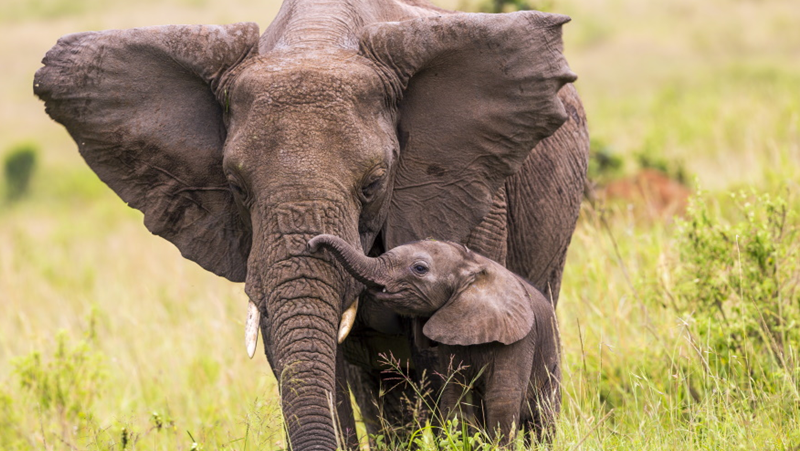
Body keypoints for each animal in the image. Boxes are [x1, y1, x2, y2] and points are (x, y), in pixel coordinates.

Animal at [310, 235, 560, 444]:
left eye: (419, 268)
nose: (312, 244)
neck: (473, 266)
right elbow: (454, 395)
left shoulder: (517, 339)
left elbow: (502, 399)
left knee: (543, 419)